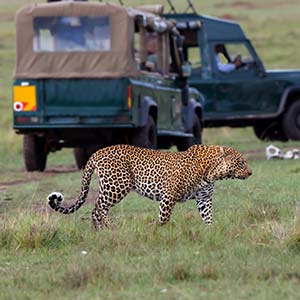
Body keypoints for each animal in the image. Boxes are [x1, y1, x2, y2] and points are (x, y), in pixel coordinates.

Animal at [48, 144, 252, 229]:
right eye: (241, 162)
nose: (251, 173)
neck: (212, 172)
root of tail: (97, 152)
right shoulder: (169, 195)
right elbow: (164, 217)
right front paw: (152, 228)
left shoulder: (204, 198)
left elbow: (208, 217)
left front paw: (211, 231)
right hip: (118, 185)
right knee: (99, 206)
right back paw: (111, 226)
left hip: (108, 186)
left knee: (96, 209)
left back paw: (99, 231)